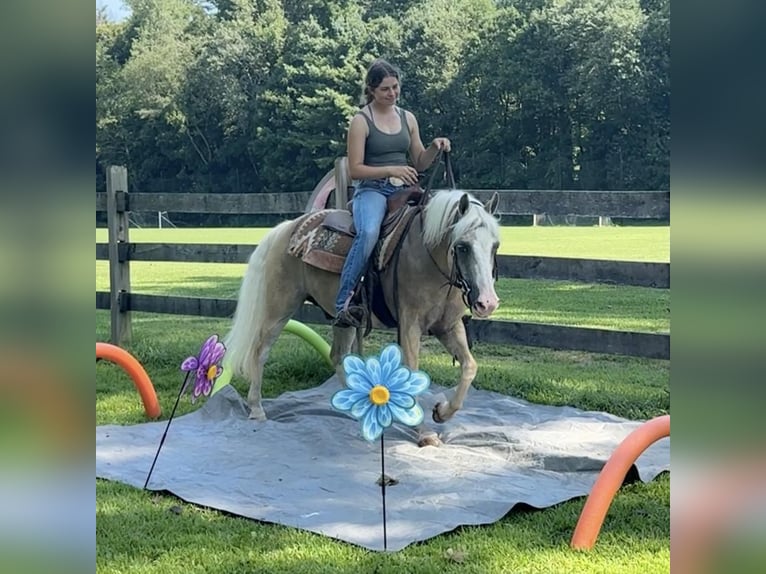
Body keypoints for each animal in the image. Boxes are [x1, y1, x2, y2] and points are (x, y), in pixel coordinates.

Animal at [225, 191, 500, 448]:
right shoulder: (410, 325)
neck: (427, 256)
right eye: (462, 246)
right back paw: (257, 409)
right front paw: (424, 432)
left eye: (495, 246)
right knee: (260, 352)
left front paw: (441, 413)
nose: (487, 303)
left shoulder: (448, 326)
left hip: (344, 320)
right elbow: (413, 371)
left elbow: (469, 367)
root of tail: (287, 228)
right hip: (279, 307)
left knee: (338, 356)